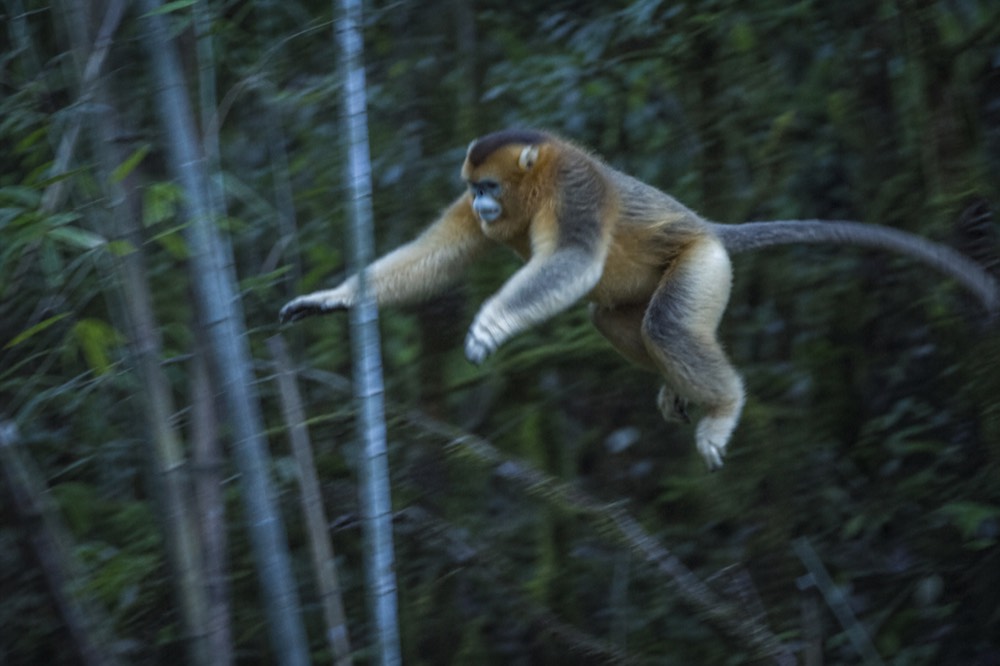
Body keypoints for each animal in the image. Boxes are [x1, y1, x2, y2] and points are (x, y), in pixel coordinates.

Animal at [280, 129, 999, 470]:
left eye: (489, 185)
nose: (483, 204)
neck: (534, 184)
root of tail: (711, 228)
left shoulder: (574, 186)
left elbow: (572, 259)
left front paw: (491, 324)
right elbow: (439, 255)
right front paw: (333, 299)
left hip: (704, 263)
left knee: (670, 324)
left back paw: (722, 407)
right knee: (614, 318)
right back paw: (678, 391)